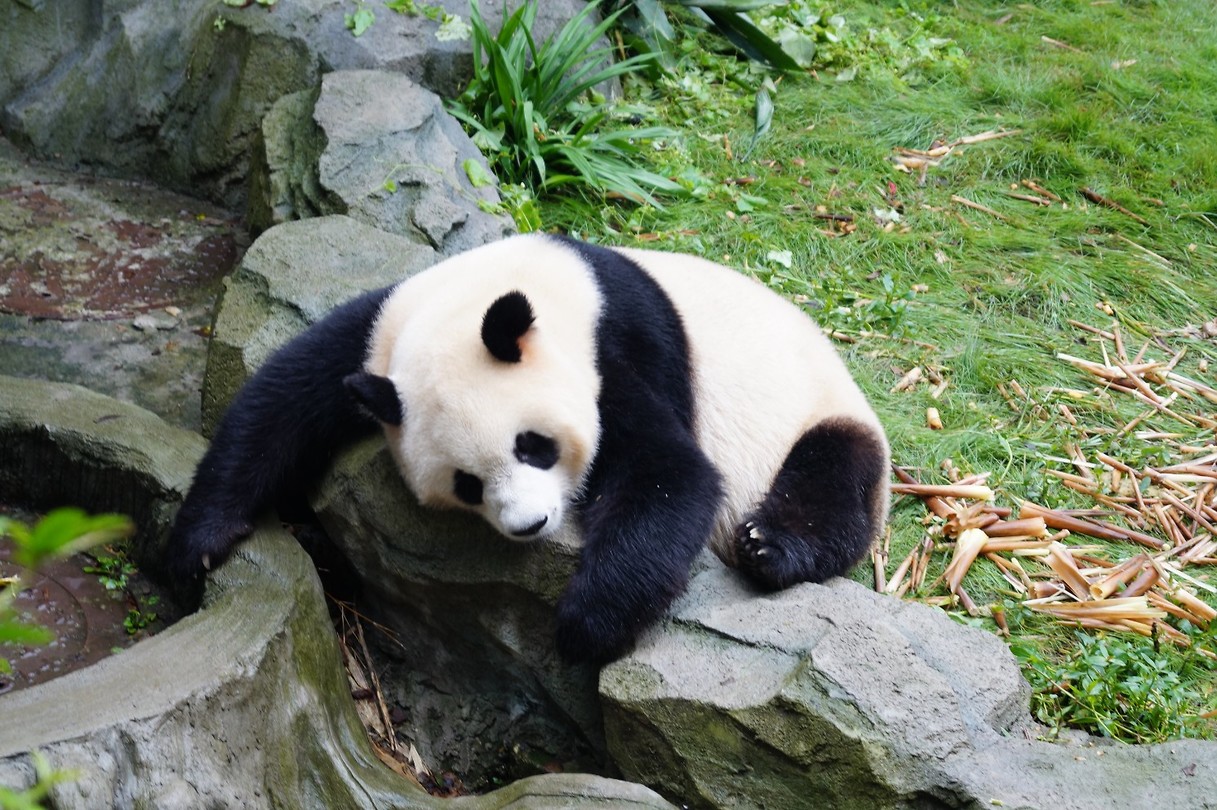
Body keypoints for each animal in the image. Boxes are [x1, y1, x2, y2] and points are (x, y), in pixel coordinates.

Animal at [166, 233, 890, 664]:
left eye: (533, 446)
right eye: (465, 483)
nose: (530, 524)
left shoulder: (618, 348)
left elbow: (670, 474)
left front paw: (586, 628)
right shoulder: (378, 336)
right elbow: (278, 399)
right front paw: (194, 543)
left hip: (819, 413)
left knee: (834, 478)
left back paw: (770, 545)